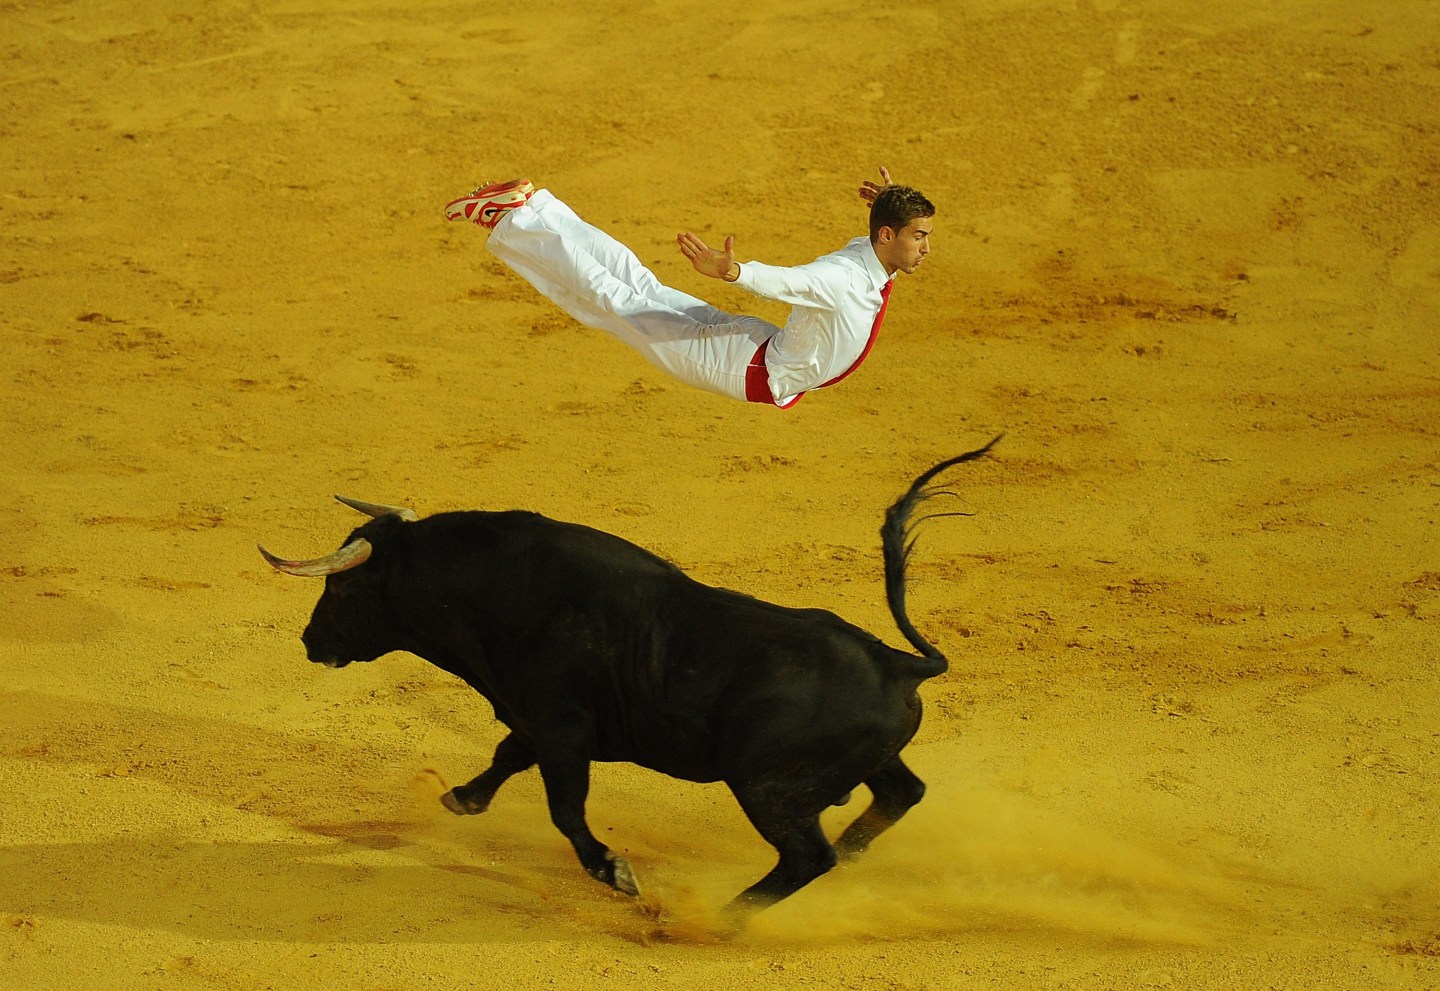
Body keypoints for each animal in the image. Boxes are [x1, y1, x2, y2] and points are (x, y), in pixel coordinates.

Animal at [259, 436, 998, 922]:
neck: (494, 586)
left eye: (344, 589)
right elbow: (506, 756)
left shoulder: (563, 729)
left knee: (804, 857)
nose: (310, 641)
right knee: (900, 794)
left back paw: (713, 919)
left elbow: (565, 808)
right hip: (857, 767)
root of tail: (904, 662)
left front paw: (616, 872)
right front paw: (462, 798)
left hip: (765, 785)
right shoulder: (536, 719)